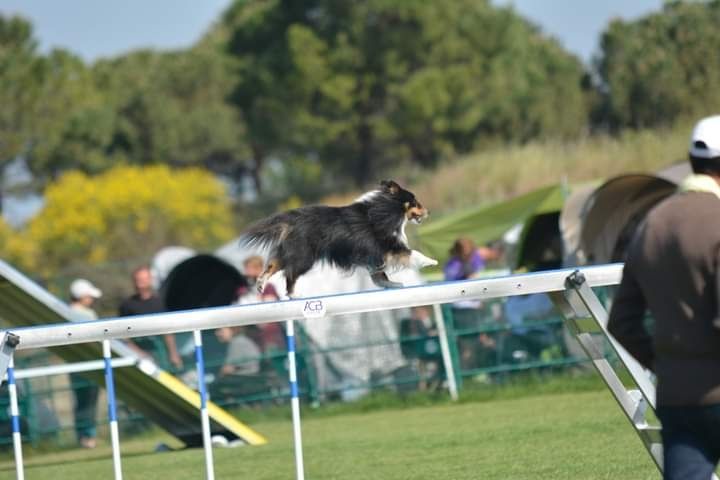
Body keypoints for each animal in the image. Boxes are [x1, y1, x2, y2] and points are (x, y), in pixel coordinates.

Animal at [240, 180, 438, 296]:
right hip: (305, 257)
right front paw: (432, 261)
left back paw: (260, 285)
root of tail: (291, 220)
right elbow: (413, 253)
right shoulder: (389, 247)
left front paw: (392, 284)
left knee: (272, 266)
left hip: (289, 252)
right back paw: (294, 295)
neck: (387, 209)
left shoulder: (373, 256)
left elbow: (379, 276)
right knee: (290, 274)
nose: (429, 212)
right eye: (415, 202)